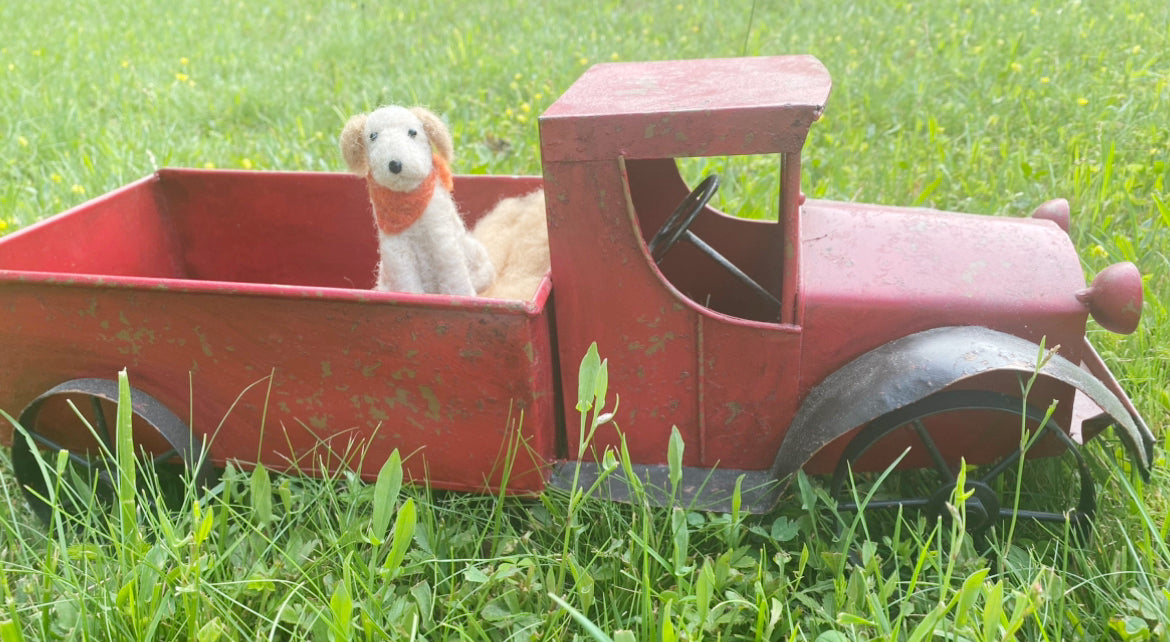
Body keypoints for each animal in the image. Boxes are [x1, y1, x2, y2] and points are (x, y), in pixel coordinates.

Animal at [341, 105, 498, 295]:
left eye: (413, 132)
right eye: (373, 136)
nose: (395, 165)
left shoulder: (442, 239)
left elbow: (454, 277)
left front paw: (463, 297)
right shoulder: (397, 252)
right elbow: (407, 282)